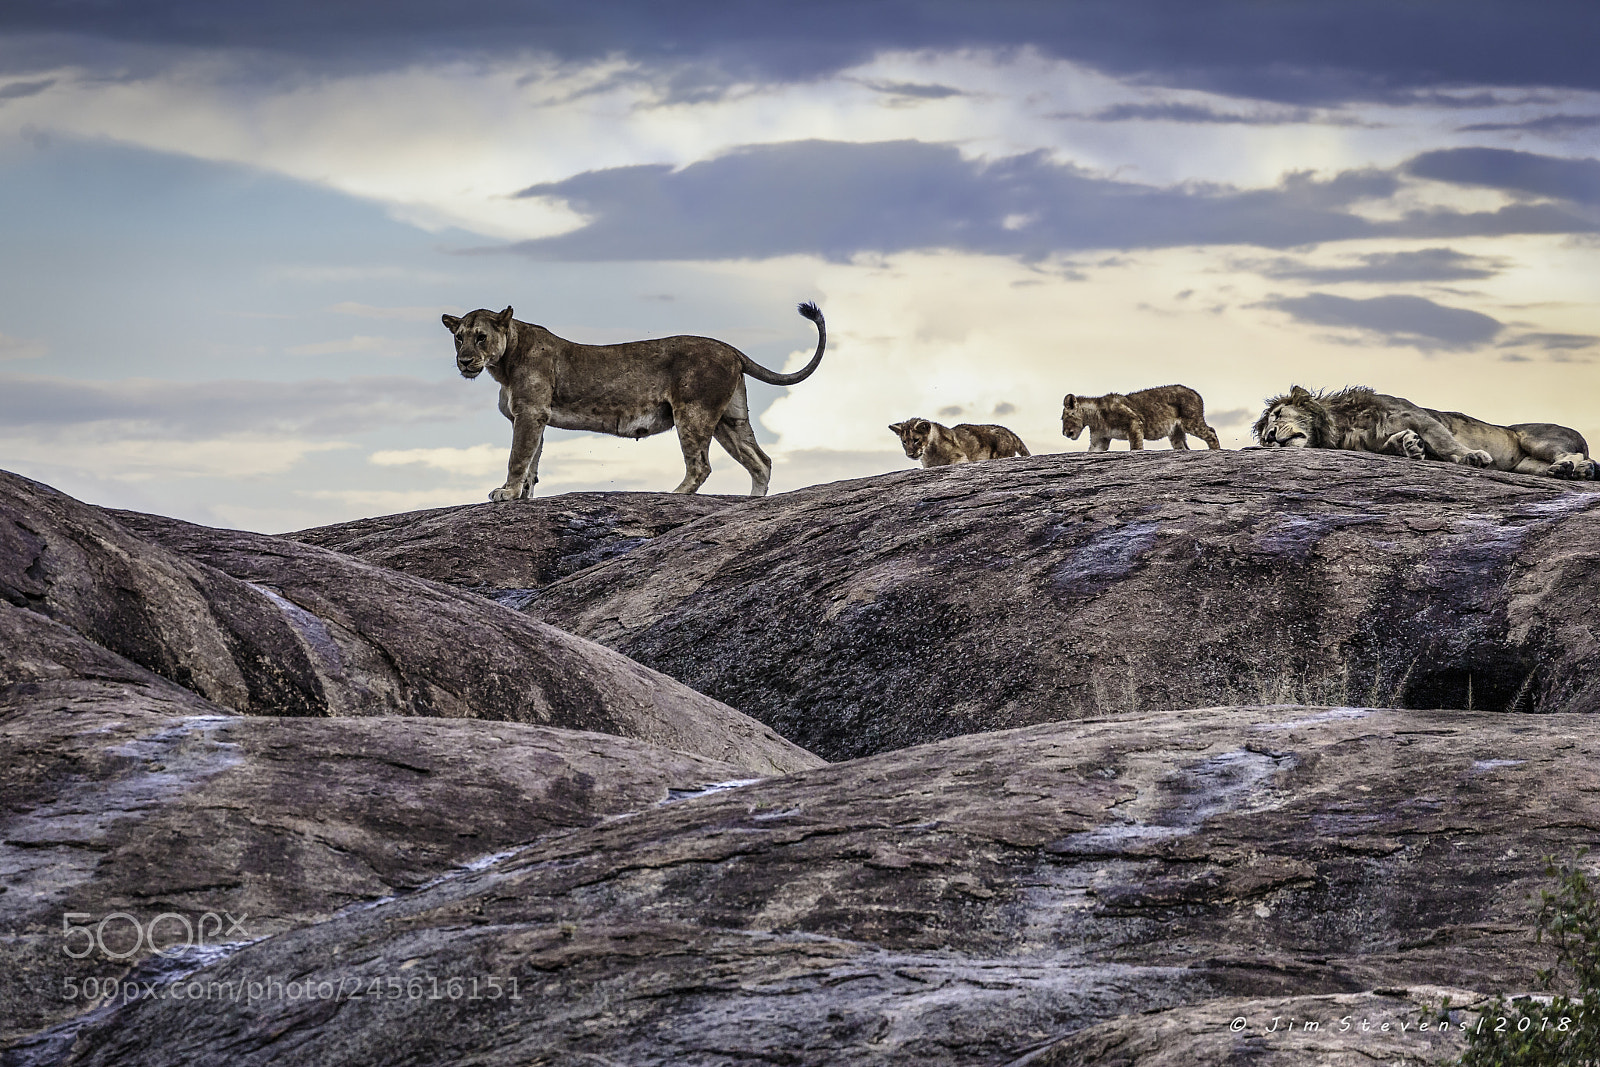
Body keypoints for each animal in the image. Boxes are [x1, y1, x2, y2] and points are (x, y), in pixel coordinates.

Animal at [443, 302, 825, 499]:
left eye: (480, 337)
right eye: (458, 337)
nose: (464, 361)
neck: (503, 365)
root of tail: (731, 349)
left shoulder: (530, 413)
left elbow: (517, 458)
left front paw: (505, 493)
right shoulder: (536, 417)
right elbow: (532, 463)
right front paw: (522, 496)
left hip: (693, 412)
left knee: (701, 465)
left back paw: (675, 494)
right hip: (730, 419)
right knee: (761, 460)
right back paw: (752, 501)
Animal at [888, 419, 1030, 467]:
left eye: (916, 440)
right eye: (904, 441)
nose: (910, 454)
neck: (929, 453)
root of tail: (1009, 431)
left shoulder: (960, 457)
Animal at [1061, 385, 1222, 451]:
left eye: (1064, 418)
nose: (1064, 433)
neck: (1095, 419)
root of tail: (1196, 393)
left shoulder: (1133, 422)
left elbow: (1136, 447)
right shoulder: (1099, 440)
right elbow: (1091, 452)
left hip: (1191, 421)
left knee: (1211, 432)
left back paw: (1216, 451)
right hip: (1175, 432)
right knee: (1183, 447)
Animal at [1253, 385, 1596, 479]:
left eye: (1278, 415)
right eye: (1266, 430)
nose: (1270, 437)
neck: (1340, 427)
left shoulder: (1417, 416)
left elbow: (1445, 443)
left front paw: (1471, 457)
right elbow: (1392, 444)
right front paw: (1410, 446)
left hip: (1535, 438)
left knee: (1574, 453)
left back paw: (1572, 466)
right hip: (1526, 464)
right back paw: (1565, 471)